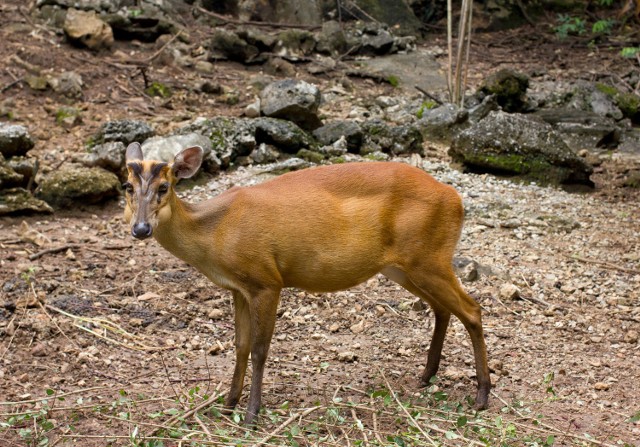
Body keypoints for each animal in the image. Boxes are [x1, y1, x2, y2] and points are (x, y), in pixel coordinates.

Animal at [124, 144, 490, 428]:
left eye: (164, 186)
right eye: (127, 186)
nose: (140, 228)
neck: (216, 233)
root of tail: (455, 198)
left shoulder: (266, 280)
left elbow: (259, 349)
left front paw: (252, 414)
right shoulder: (238, 288)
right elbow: (239, 346)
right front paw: (227, 405)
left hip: (429, 257)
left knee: (472, 309)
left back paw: (482, 395)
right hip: (404, 267)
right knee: (443, 309)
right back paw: (426, 376)